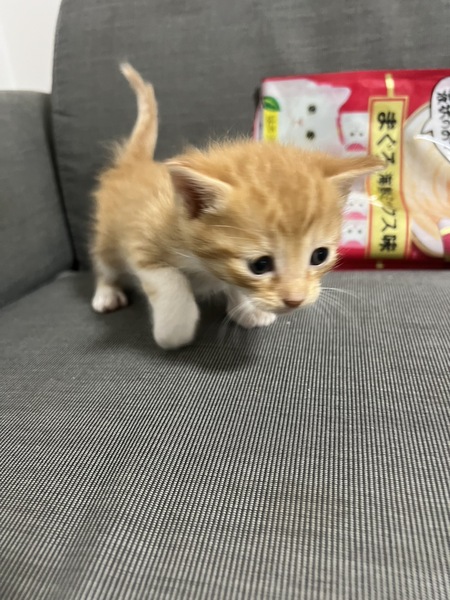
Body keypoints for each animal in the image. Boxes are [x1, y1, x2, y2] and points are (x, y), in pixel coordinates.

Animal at [91, 65, 383, 349]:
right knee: (104, 265)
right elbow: (170, 281)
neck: (204, 263)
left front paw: (246, 309)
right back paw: (107, 294)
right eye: (260, 265)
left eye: (319, 256)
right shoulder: (140, 242)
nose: (295, 300)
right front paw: (174, 330)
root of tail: (134, 163)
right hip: (107, 239)